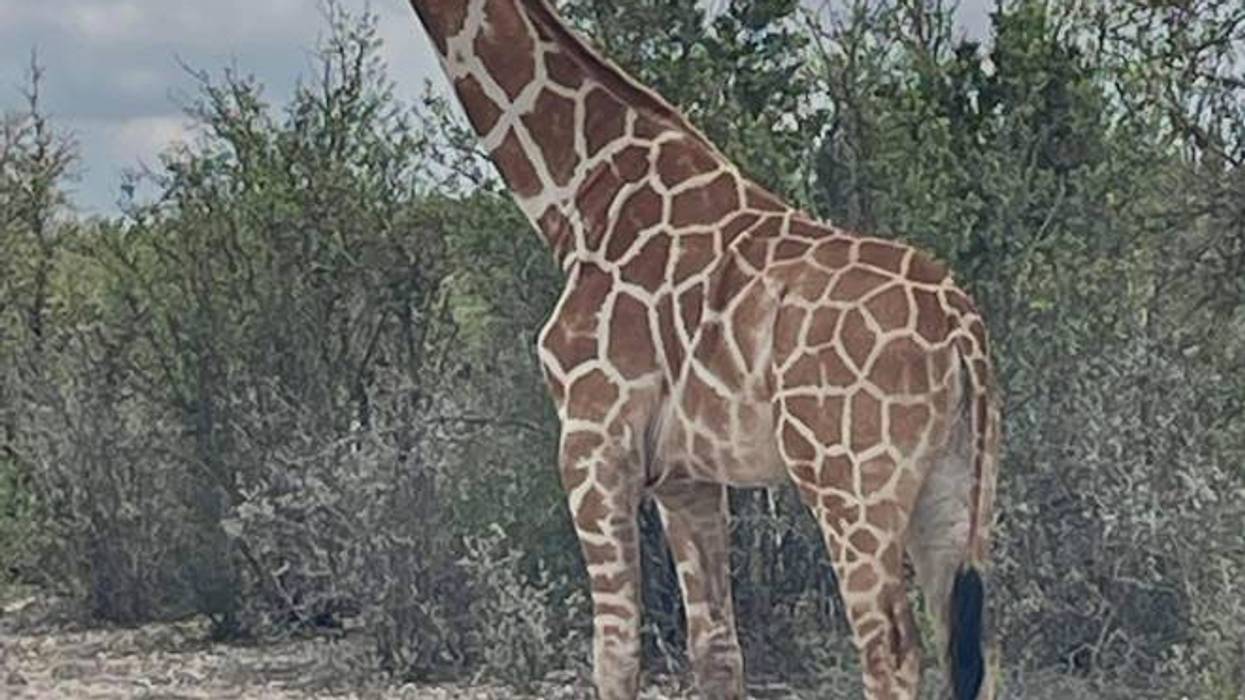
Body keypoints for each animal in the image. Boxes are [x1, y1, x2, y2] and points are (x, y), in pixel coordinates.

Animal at [405, 2, 1000, 699]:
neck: (581, 199)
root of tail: (962, 327)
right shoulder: (686, 475)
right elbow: (716, 649)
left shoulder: (592, 443)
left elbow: (615, 653)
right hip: (957, 487)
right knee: (971, 648)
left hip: (851, 486)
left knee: (891, 653)